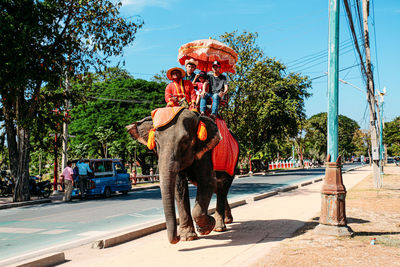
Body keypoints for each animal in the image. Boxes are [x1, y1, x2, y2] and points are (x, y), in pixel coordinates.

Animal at [126, 109, 238, 245]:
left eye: (185, 141)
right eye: (156, 142)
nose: (177, 236)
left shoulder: (206, 152)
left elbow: (207, 182)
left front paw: (206, 227)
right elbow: (179, 187)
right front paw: (188, 237)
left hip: (233, 163)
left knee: (222, 188)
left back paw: (219, 227)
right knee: (219, 189)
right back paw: (227, 221)